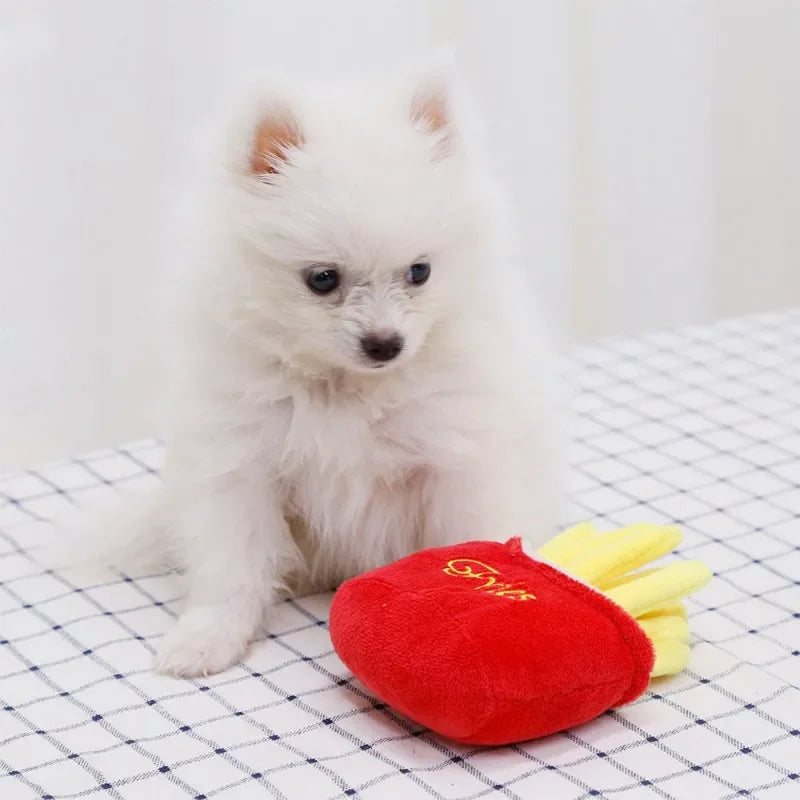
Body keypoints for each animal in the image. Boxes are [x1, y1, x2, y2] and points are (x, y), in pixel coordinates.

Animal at [87, 64, 564, 676]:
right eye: (322, 279)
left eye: (420, 272)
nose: (386, 343)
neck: (345, 388)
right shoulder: (240, 467)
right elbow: (232, 567)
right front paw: (207, 638)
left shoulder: (454, 462)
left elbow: (465, 542)